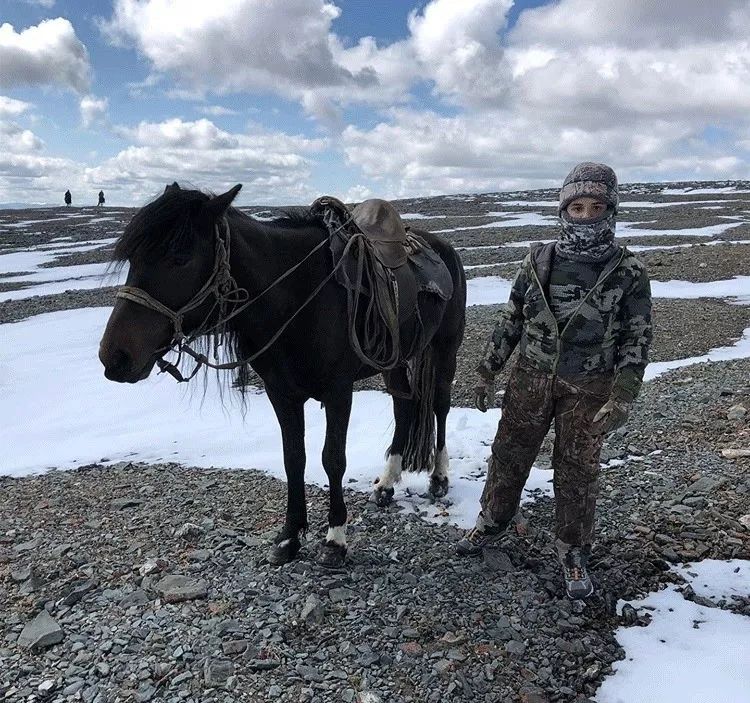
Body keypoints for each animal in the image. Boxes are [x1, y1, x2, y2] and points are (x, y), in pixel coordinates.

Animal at [97, 182, 468, 568]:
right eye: (133, 258)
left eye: (180, 257)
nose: (115, 356)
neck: (299, 295)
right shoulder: (282, 393)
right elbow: (294, 459)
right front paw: (290, 537)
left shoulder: (338, 392)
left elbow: (333, 460)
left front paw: (335, 539)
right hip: (392, 359)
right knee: (403, 406)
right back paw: (387, 483)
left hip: (444, 350)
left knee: (439, 405)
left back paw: (439, 477)